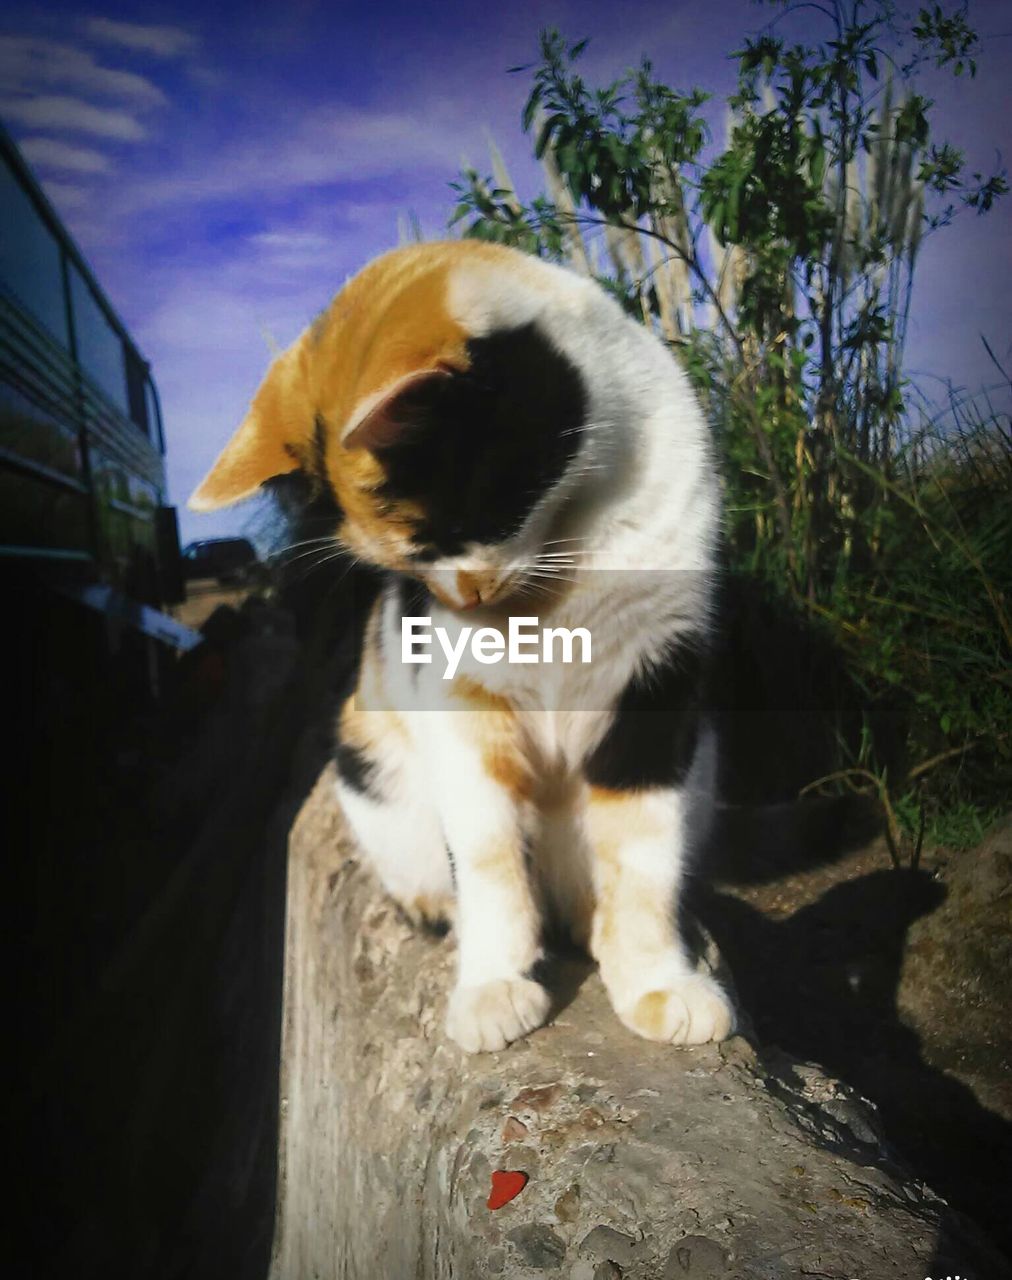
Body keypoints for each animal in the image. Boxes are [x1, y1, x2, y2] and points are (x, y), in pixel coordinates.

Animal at [194, 238, 736, 1049]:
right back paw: (438, 911)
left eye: (452, 527)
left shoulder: (658, 680)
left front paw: (656, 981)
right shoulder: (457, 707)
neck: (560, 563)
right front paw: (492, 987)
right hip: (367, 759)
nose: (465, 600)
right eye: (409, 568)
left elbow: (643, 852)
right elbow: (487, 857)